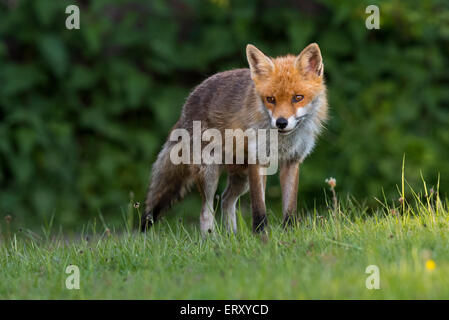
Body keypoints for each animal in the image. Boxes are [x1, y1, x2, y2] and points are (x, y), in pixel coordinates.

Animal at [142, 42, 328, 234]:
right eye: (270, 99)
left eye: (297, 98)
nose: (281, 122)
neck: (281, 142)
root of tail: (187, 103)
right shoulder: (257, 160)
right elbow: (259, 207)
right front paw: (261, 235)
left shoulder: (292, 161)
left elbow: (289, 208)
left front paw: (288, 233)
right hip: (209, 173)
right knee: (206, 211)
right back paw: (211, 239)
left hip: (241, 178)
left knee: (226, 200)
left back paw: (232, 236)